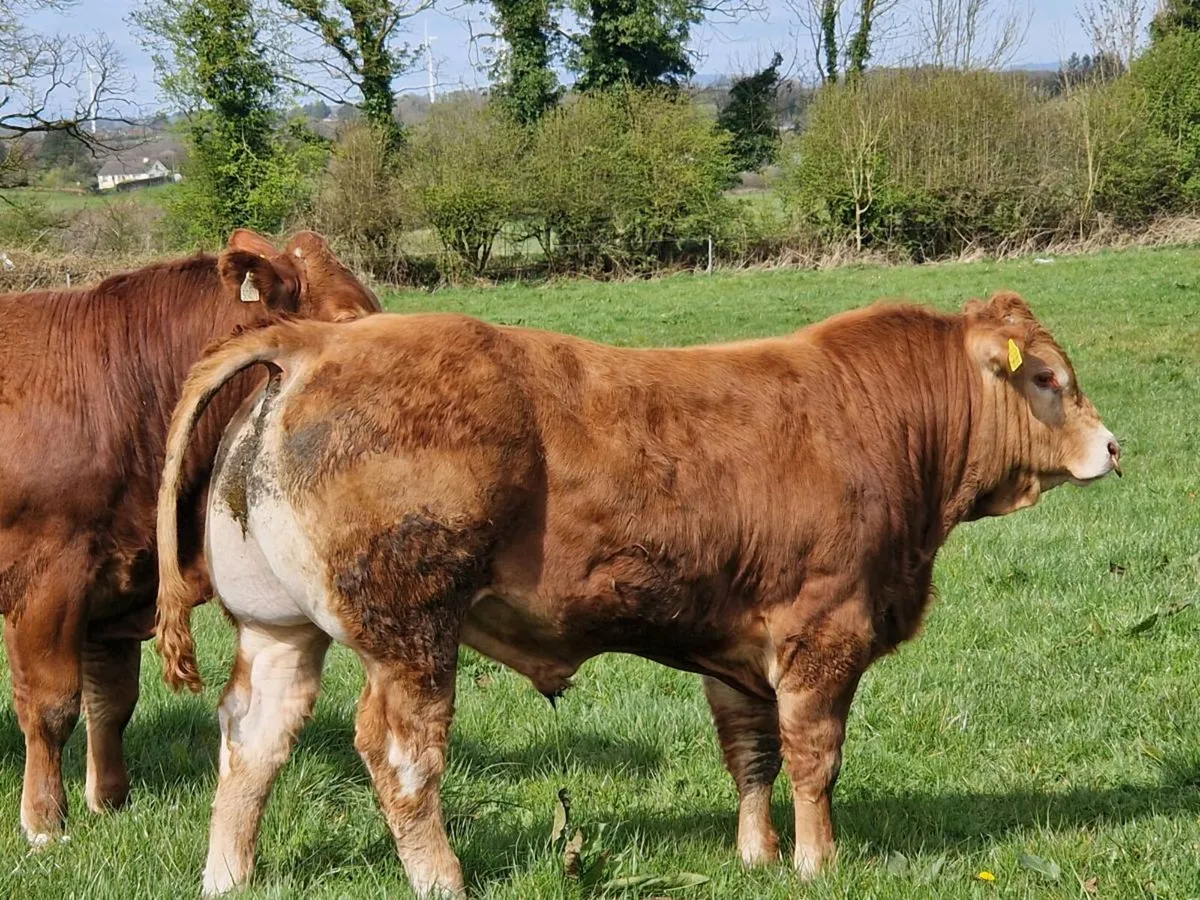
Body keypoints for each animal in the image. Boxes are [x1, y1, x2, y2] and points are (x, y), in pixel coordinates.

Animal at [0, 229, 380, 846]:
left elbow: (112, 699)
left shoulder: (120, 577)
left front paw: (110, 802)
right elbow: (52, 705)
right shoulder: (46, 579)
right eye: (348, 317)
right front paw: (44, 823)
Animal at [155, 291, 1120, 897]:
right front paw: (818, 862)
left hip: (277, 629)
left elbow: (752, 755)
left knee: (254, 741)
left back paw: (227, 876)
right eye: (1047, 379)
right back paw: (442, 880)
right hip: (410, 634)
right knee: (400, 757)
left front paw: (757, 856)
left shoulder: (738, 649)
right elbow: (815, 758)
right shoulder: (825, 630)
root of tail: (317, 340)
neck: (881, 421)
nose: (1112, 446)